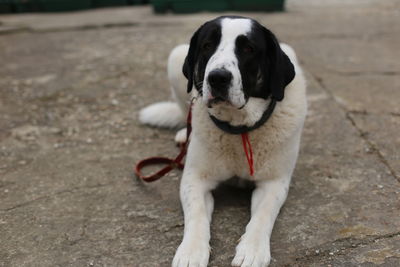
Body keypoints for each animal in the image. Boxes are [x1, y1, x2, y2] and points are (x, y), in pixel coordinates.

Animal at [139, 16, 308, 267]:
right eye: (207, 46)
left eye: (248, 49)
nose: (218, 77)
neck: (239, 128)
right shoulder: (194, 179)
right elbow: (197, 214)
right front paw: (191, 251)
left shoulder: (274, 182)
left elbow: (263, 215)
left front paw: (252, 250)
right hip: (175, 58)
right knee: (185, 111)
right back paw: (185, 134)